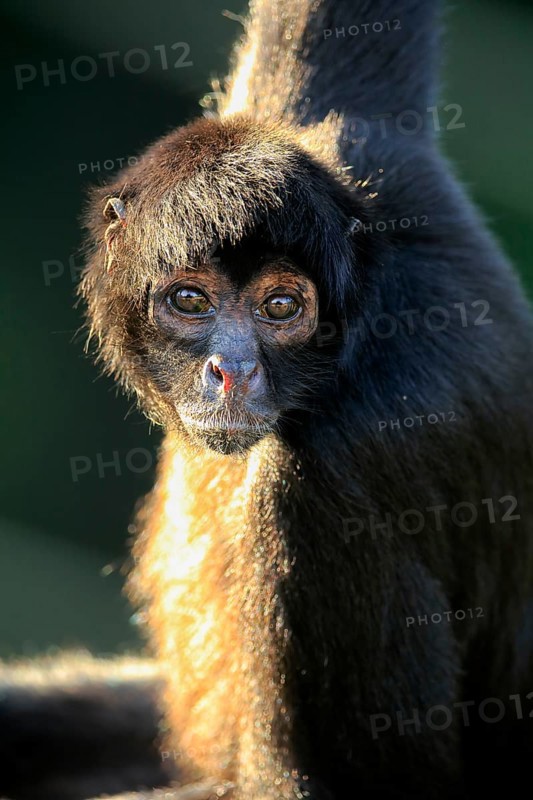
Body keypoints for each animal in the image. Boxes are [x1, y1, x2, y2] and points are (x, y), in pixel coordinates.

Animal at [2, 0, 533, 799]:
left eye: (281, 307)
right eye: (190, 301)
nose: (233, 369)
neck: (366, 323)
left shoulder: (338, 470)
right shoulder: (357, 143)